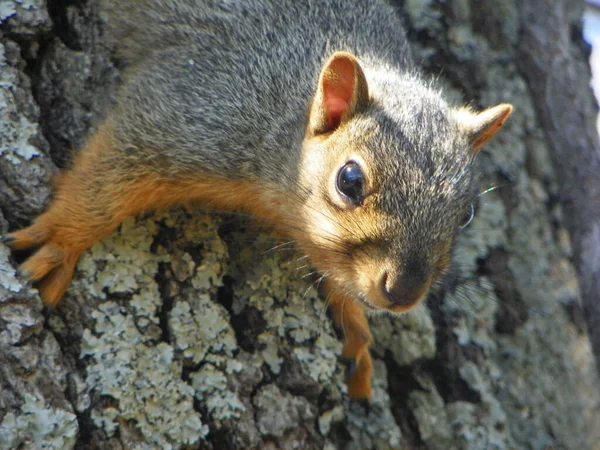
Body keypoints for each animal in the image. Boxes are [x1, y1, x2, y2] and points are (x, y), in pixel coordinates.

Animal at [3, 0, 510, 400]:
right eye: (349, 180)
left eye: (467, 213)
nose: (402, 293)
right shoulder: (190, 110)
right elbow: (108, 174)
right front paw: (62, 240)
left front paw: (355, 328)